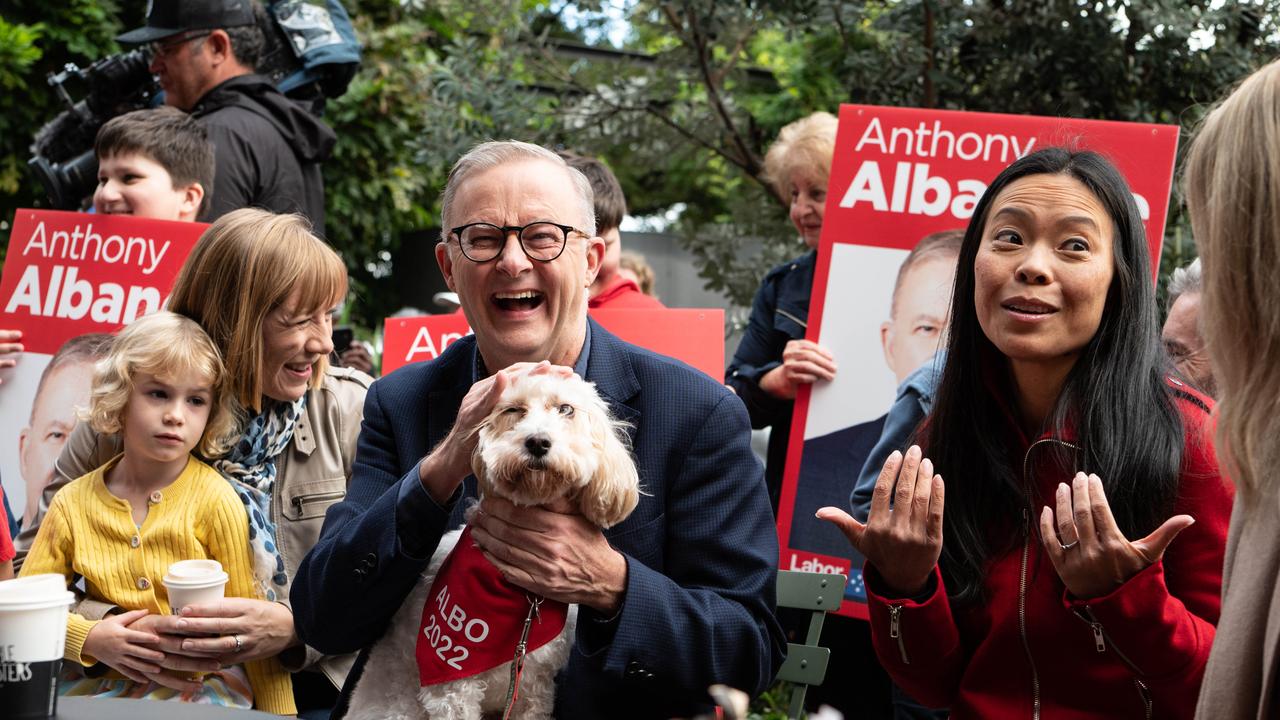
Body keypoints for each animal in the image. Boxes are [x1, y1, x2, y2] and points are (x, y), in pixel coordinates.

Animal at [345, 366, 640, 712]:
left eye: (566, 409)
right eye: (512, 410)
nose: (538, 442)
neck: (524, 598)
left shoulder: (534, 689)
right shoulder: (453, 686)